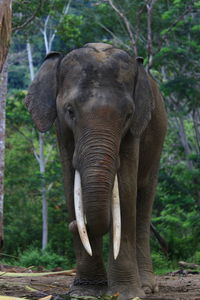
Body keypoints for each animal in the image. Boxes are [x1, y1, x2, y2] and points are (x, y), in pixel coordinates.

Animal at [24, 42, 167, 300]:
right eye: (70, 110)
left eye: (128, 115)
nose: (72, 225)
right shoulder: (62, 130)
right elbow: (69, 181)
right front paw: (86, 291)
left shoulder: (134, 130)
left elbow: (127, 188)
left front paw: (126, 293)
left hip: (157, 140)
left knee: (143, 201)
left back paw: (146, 287)